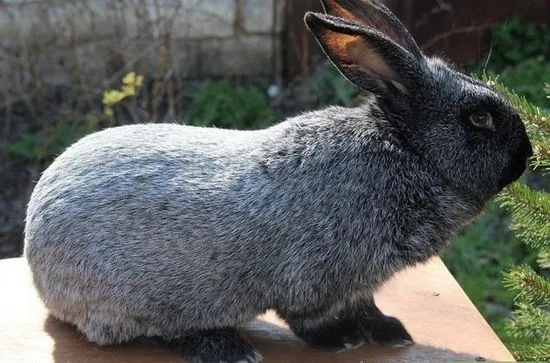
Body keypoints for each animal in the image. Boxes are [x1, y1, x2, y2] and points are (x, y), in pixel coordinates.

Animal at [22, 0, 536, 363]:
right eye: (480, 118)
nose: (527, 156)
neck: (408, 151)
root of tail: (33, 243)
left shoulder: (360, 284)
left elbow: (367, 307)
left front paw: (391, 331)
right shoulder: (314, 280)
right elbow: (310, 321)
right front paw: (342, 341)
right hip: (139, 302)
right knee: (153, 332)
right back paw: (226, 349)